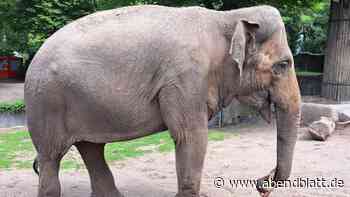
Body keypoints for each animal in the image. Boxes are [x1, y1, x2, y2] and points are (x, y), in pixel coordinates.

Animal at [24, 4, 302, 197]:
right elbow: (191, 137)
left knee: (91, 149)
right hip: (46, 102)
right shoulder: (185, 79)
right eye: (283, 65)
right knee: (52, 157)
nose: (262, 182)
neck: (226, 18)